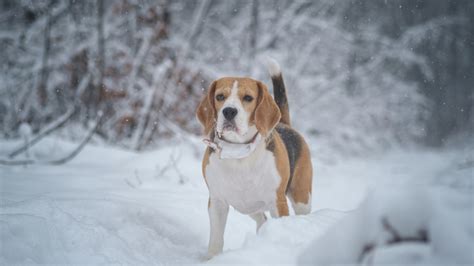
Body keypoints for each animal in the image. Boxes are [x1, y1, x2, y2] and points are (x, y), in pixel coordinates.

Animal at [194, 60, 312, 258]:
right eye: (220, 96)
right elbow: (216, 241)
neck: (237, 150)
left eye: (248, 98)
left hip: (301, 198)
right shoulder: (217, 202)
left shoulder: (277, 202)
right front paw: (212, 259)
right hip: (247, 205)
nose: (229, 111)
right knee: (262, 219)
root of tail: (284, 124)